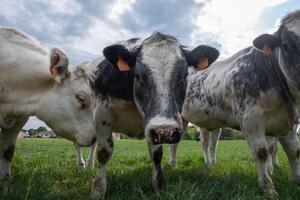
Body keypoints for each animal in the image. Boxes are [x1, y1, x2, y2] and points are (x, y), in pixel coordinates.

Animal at [88, 31, 218, 198]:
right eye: (138, 75)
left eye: (184, 76)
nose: (166, 131)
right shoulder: (103, 114)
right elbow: (104, 152)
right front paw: (98, 189)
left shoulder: (155, 128)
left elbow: (157, 154)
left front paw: (159, 185)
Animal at [178, 10, 300, 198]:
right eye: (286, 45)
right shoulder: (251, 119)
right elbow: (262, 152)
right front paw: (268, 187)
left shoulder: (288, 122)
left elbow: (293, 151)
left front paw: (296, 179)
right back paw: (174, 164)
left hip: (212, 124)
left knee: (211, 144)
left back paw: (211, 164)